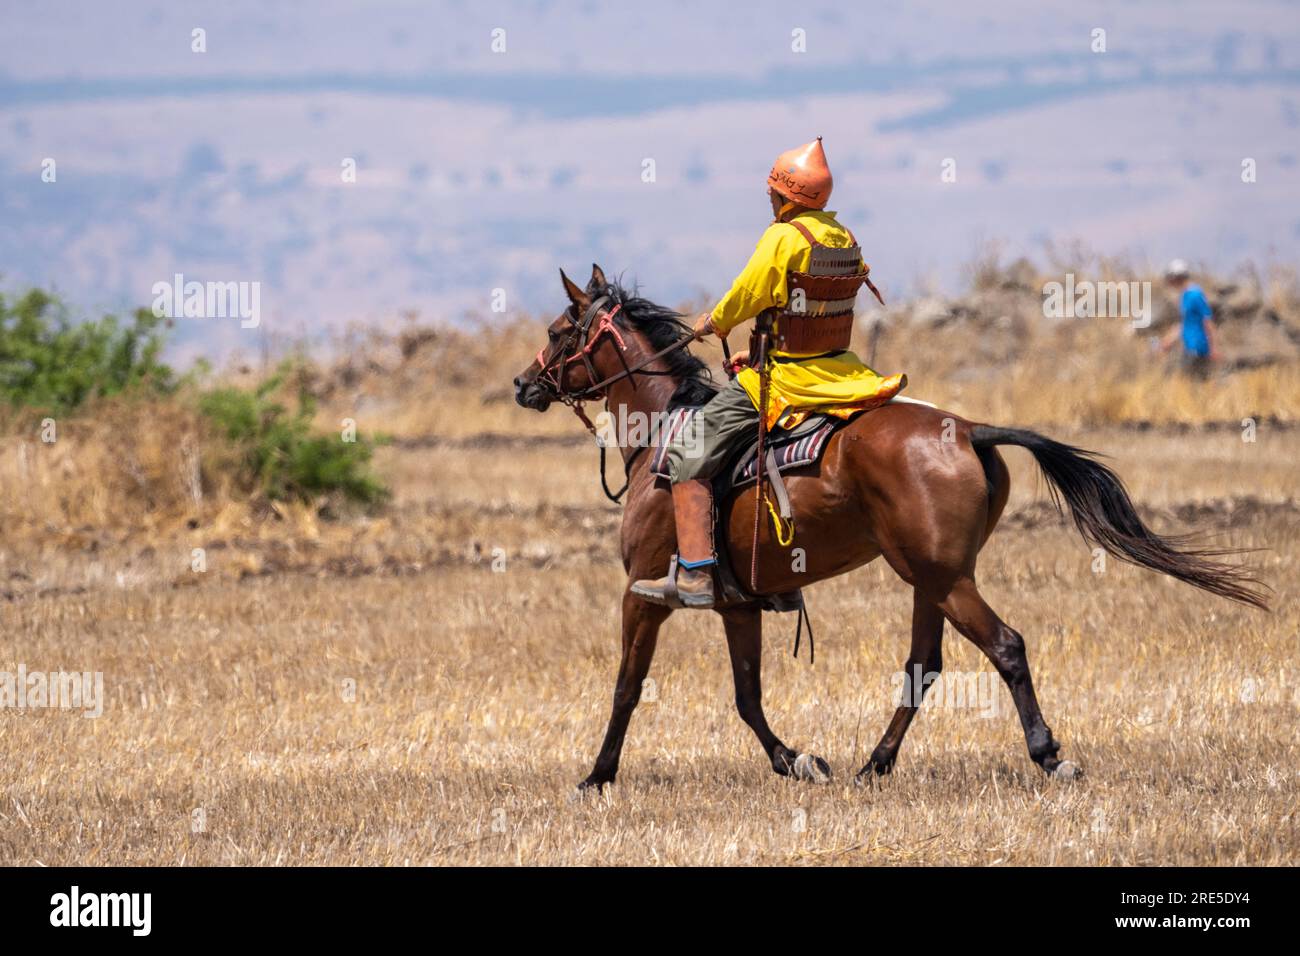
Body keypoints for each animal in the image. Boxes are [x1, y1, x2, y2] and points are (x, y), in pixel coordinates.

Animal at [509, 264, 1268, 790]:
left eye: (557, 332)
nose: (523, 384)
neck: (663, 431)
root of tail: (966, 427)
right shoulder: (738, 603)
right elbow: (749, 697)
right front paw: (798, 760)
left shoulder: (642, 595)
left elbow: (628, 687)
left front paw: (597, 775)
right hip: (931, 577)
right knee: (922, 666)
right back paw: (875, 763)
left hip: (942, 577)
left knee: (1006, 646)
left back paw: (1049, 755)